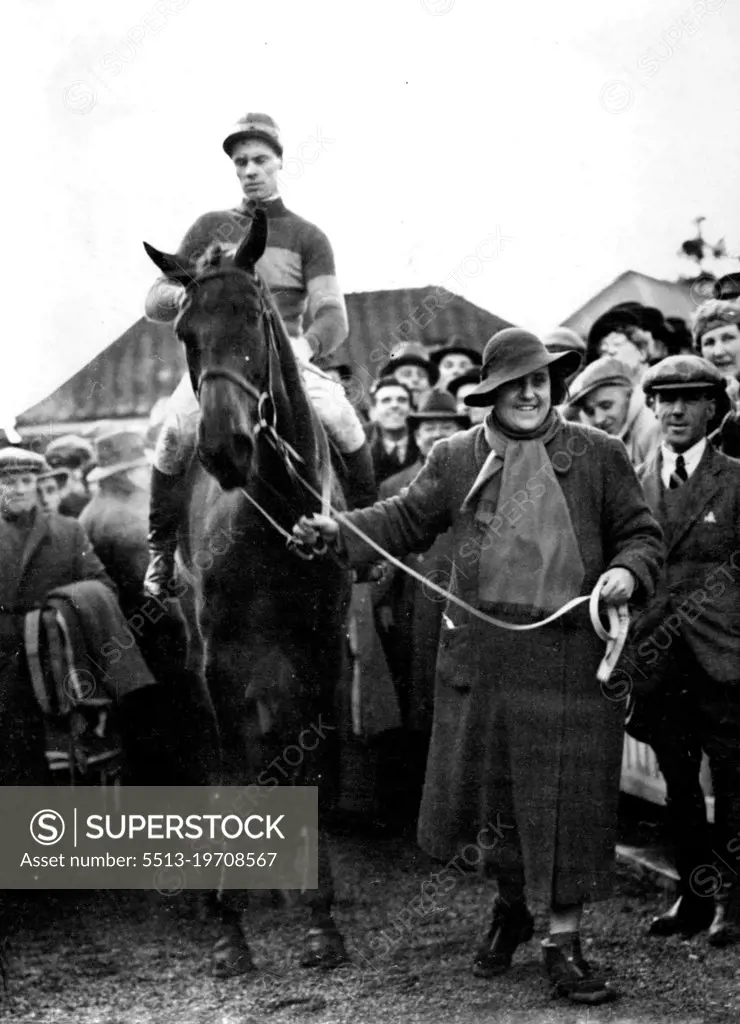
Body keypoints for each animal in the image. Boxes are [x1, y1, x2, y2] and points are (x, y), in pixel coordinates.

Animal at [146, 207, 354, 974]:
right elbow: (230, 769)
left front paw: (320, 919)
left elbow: (314, 765)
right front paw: (228, 925)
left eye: (257, 315)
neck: (271, 511)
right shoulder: (218, 663)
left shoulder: (323, 653)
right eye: (186, 331)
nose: (224, 448)